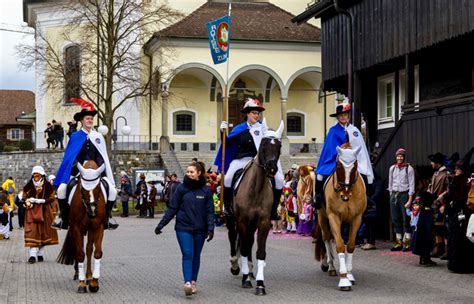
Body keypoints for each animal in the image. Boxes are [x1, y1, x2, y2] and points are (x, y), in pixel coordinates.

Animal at [57, 160, 107, 294]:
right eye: (83, 188)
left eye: (98, 187)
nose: (92, 211)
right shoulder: (76, 228)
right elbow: (79, 254)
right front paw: (81, 284)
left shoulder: (98, 227)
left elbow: (97, 253)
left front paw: (94, 283)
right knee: (78, 250)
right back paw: (79, 275)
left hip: (90, 230)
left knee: (89, 249)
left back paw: (89, 277)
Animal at [226, 119, 282, 294]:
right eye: (263, 144)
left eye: (279, 146)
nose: (272, 168)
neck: (256, 189)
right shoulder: (242, 221)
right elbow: (243, 248)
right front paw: (245, 279)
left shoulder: (264, 222)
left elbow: (260, 252)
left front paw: (260, 283)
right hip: (232, 220)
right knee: (233, 238)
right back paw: (236, 266)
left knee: (249, 241)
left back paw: (250, 270)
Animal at [314, 144, 366, 290]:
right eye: (338, 165)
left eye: (355, 165)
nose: (345, 195)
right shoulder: (334, 217)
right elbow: (340, 246)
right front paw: (344, 279)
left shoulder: (356, 219)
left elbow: (350, 246)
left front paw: (349, 274)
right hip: (322, 218)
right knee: (326, 238)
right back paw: (330, 266)